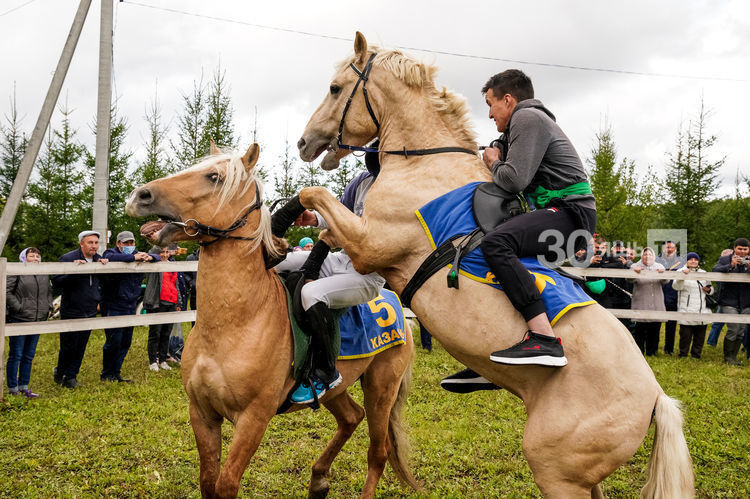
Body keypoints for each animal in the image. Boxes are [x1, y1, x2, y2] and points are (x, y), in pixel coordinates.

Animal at [123, 143, 418, 498]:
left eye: (214, 177)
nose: (141, 195)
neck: (234, 325)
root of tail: (396, 307)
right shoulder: (202, 414)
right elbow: (208, 483)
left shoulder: (253, 420)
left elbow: (225, 485)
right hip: (338, 389)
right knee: (351, 417)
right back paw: (318, 479)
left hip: (381, 387)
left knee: (378, 453)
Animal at [296, 33, 696, 498]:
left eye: (335, 89)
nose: (304, 143)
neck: (424, 162)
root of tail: (655, 399)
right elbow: (321, 223)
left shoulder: (370, 243)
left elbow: (312, 195)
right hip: (580, 476)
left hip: (555, 470)